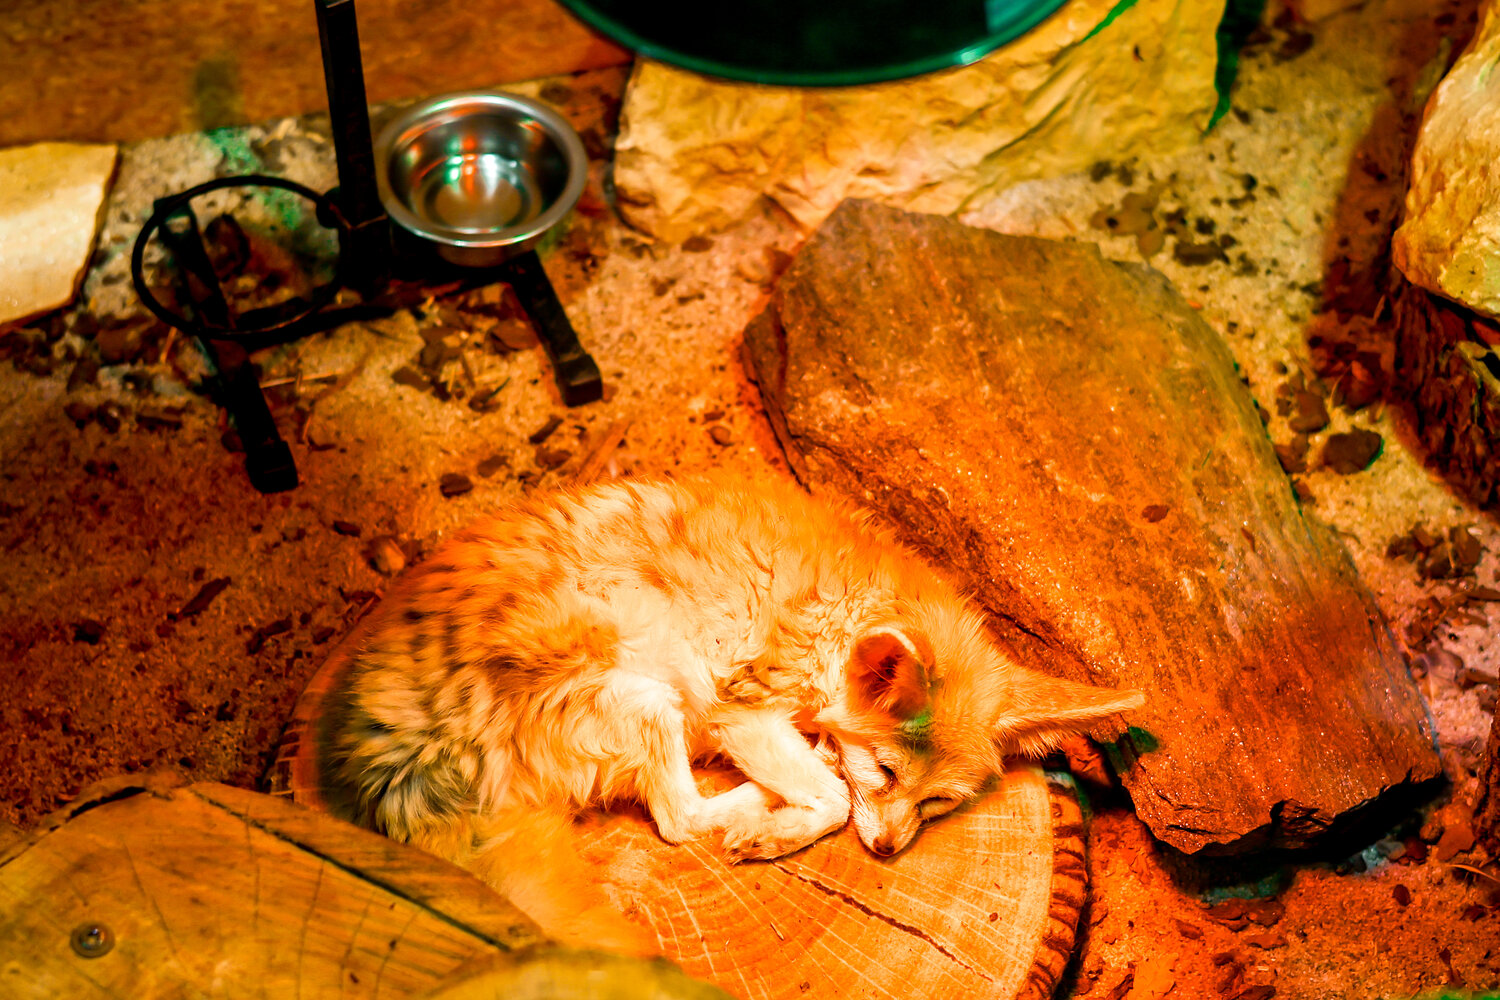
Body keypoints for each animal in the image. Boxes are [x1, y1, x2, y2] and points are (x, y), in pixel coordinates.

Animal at [323, 474, 1143, 944]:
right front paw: (783, 824)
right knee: (678, 819)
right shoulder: (741, 709)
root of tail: (387, 776)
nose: (886, 853)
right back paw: (752, 806)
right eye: (886, 772)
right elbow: (835, 798)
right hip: (647, 692)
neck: (847, 601)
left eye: (938, 803)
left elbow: (832, 789)